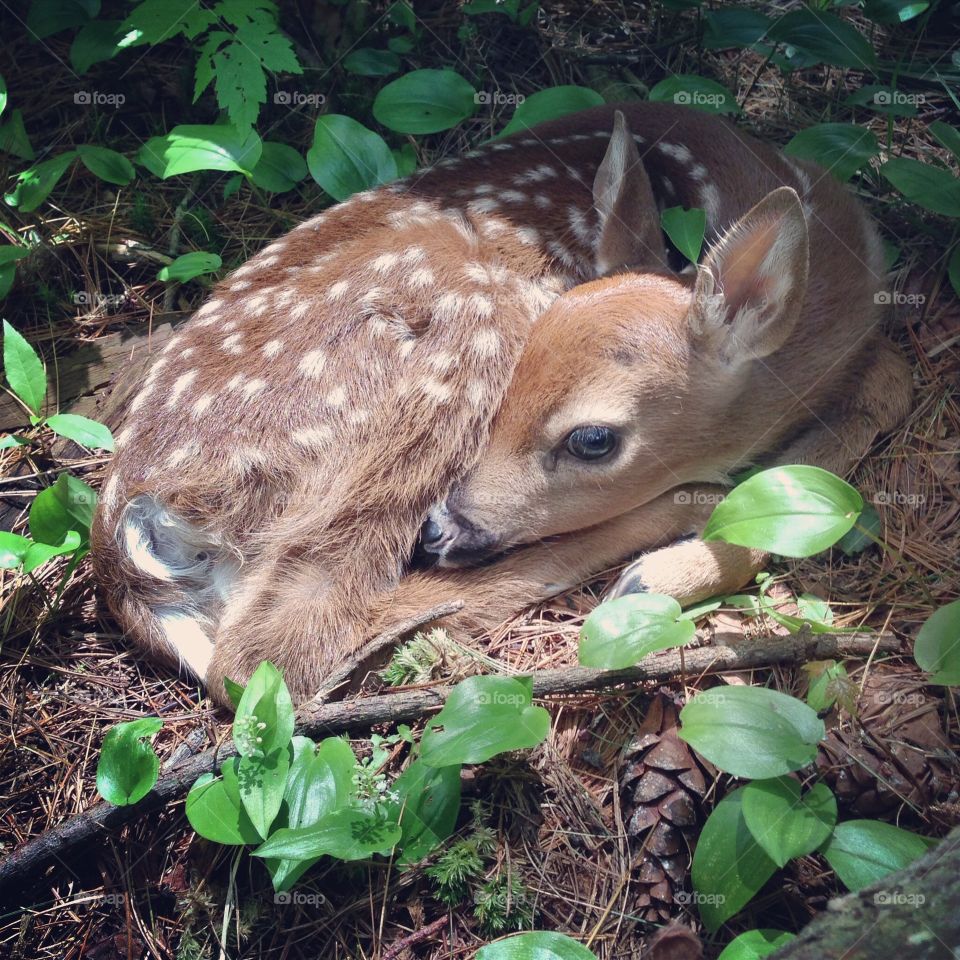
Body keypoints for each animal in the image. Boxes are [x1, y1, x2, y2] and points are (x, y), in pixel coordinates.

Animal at [91, 103, 912, 708]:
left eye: (593, 440)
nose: (441, 530)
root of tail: (130, 525)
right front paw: (680, 555)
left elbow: (884, 390)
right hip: (460, 327)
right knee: (269, 657)